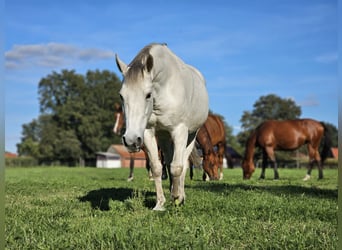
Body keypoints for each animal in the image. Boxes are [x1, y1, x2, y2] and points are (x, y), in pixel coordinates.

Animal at [116, 42, 210, 210]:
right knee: (168, 160)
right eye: (121, 96)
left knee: (184, 164)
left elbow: (177, 167)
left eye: (148, 94)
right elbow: (157, 168)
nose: (131, 141)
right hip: (164, 137)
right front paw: (160, 203)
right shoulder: (148, 133)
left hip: (191, 135)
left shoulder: (179, 131)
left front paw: (178, 198)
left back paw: (180, 195)